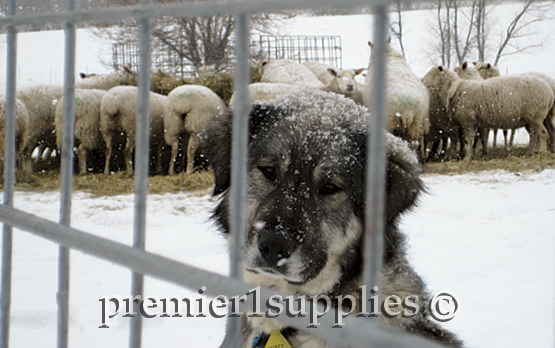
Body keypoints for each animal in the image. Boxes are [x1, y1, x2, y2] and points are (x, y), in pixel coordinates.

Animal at [424, 65, 552, 160]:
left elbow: (468, 139)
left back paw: (541, 151)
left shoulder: (467, 121)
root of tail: (550, 91)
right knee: (533, 135)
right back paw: (529, 152)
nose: (422, 81)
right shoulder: (475, 122)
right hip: (529, 120)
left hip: (535, 116)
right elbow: (477, 138)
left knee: (543, 133)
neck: (456, 88)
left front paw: (467, 157)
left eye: (431, 73)